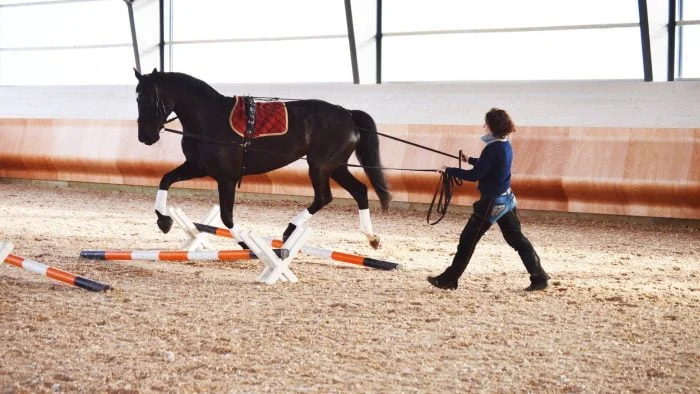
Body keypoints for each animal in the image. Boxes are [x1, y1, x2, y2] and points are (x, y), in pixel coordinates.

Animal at [134, 70, 392, 249]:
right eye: (137, 98)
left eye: (148, 98)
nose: (145, 136)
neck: (209, 119)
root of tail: (348, 114)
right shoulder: (197, 167)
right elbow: (165, 179)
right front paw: (163, 221)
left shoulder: (226, 178)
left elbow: (227, 217)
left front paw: (247, 245)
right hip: (335, 166)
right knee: (359, 191)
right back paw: (372, 238)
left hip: (320, 166)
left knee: (324, 197)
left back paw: (289, 230)